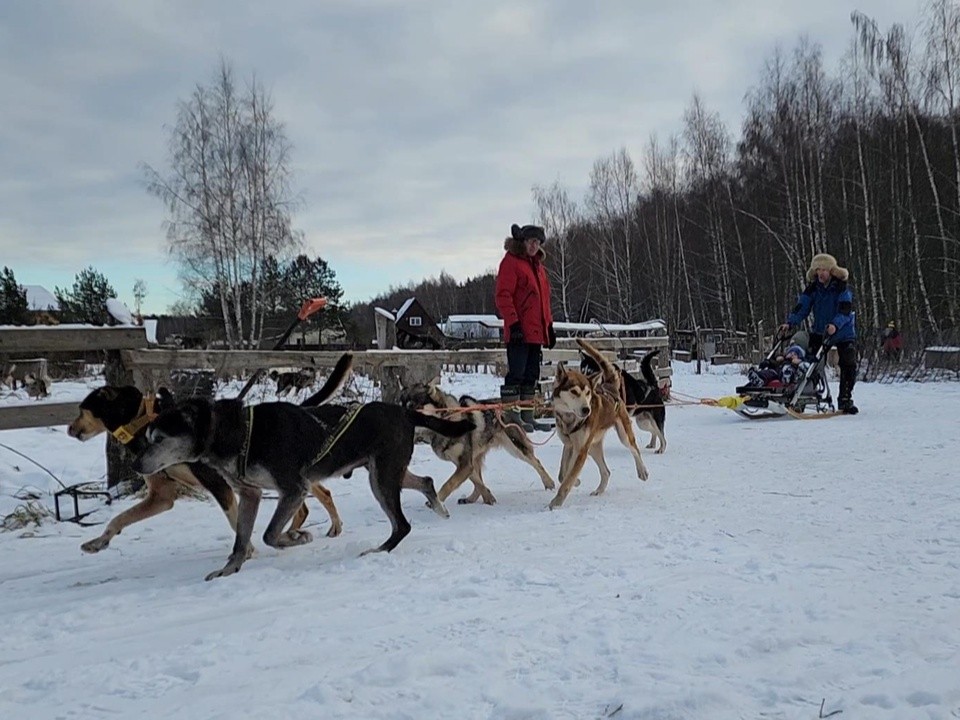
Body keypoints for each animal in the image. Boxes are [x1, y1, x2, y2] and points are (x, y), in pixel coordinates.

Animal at [67, 352, 352, 552]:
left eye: (81, 409)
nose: (69, 428)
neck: (144, 422)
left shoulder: (219, 484)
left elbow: (236, 522)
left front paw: (247, 551)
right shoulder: (162, 496)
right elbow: (119, 519)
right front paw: (98, 542)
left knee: (313, 498)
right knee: (313, 500)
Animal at [133, 394, 478, 580]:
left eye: (158, 439)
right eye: (147, 438)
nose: (136, 465)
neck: (240, 432)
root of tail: (403, 411)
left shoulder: (293, 489)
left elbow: (269, 534)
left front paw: (297, 537)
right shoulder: (250, 494)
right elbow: (241, 540)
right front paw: (229, 570)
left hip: (381, 478)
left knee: (402, 525)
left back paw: (379, 550)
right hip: (384, 471)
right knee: (426, 482)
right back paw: (438, 505)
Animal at [398, 382, 556, 506]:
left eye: (413, 407)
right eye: (400, 406)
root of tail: (505, 405)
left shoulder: (465, 464)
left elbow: (450, 483)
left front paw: (438, 500)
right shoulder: (464, 463)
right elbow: (477, 482)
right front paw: (488, 496)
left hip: (516, 448)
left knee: (536, 461)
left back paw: (549, 482)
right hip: (477, 457)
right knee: (477, 478)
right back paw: (471, 498)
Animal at [548, 340, 652, 510]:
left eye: (588, 393)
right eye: (574, 392)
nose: (586, 410)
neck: (570, 418)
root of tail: (610, 387)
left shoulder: (581, 450)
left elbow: (568, 478)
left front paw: (556, 502)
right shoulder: (569, 444)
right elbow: (563, 474)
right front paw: (575, 480)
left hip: (622, 435)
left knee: (634, 449)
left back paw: (642, 471)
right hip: (593, 448)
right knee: (606, 472)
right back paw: (599, 490)